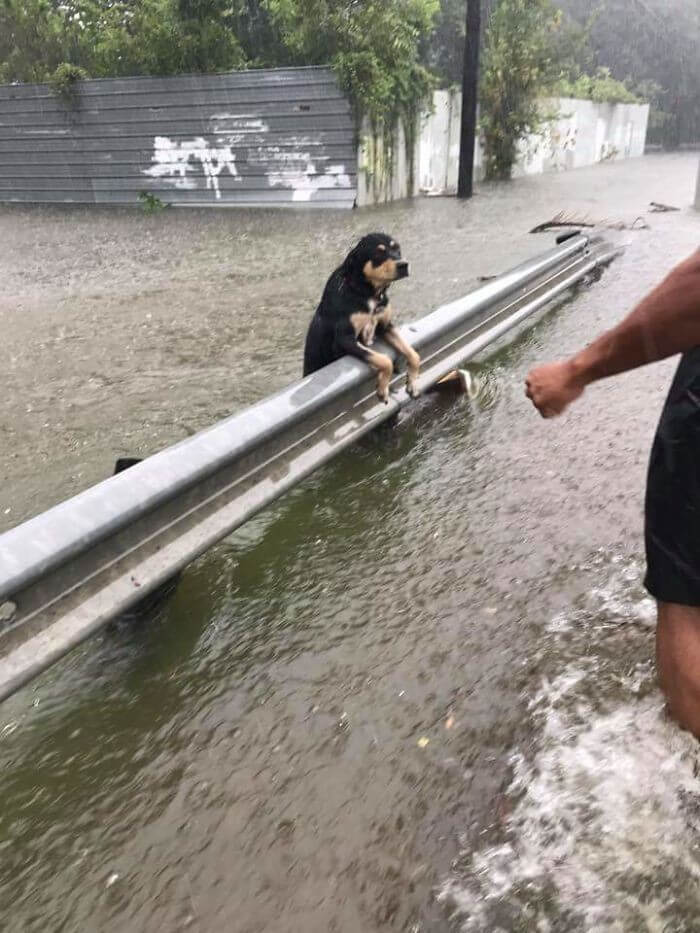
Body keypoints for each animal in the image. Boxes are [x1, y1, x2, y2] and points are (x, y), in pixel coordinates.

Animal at [302, 232, 422, 400]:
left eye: (397, 249)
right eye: (378, 253)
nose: (403, 264)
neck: (367, 292)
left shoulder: (386, 326)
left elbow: (413, 354)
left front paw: (412, 382)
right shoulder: (344, 339)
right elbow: (384, 360)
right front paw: (383, 388)